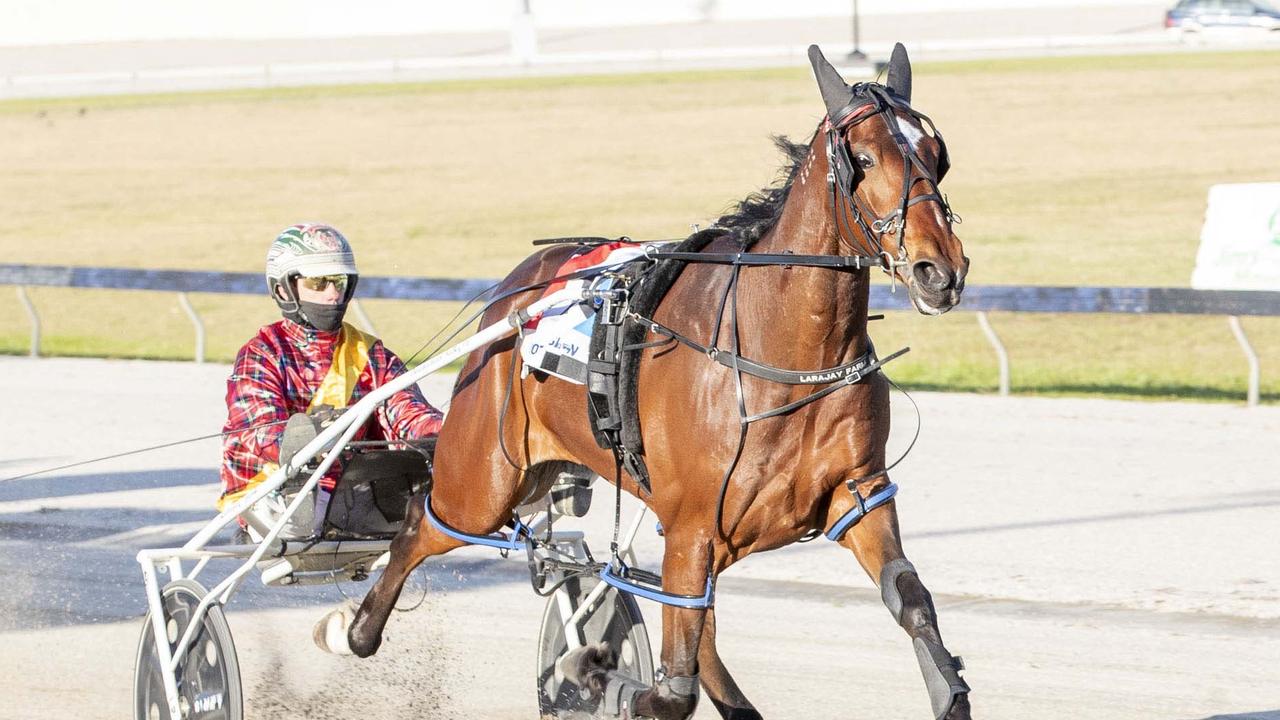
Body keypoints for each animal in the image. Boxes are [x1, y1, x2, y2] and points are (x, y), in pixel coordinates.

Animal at [322, 46, 967, 717]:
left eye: (936, 155)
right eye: (863, 159)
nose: (939, 269)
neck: (781, 352)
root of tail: (518, 287)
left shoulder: (857, 494)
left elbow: (910, 600)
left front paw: (950, 690)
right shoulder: (692, 528)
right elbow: (671, 686)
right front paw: (591, 672)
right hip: (483, 480)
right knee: (420, 523)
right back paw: (353, 632)